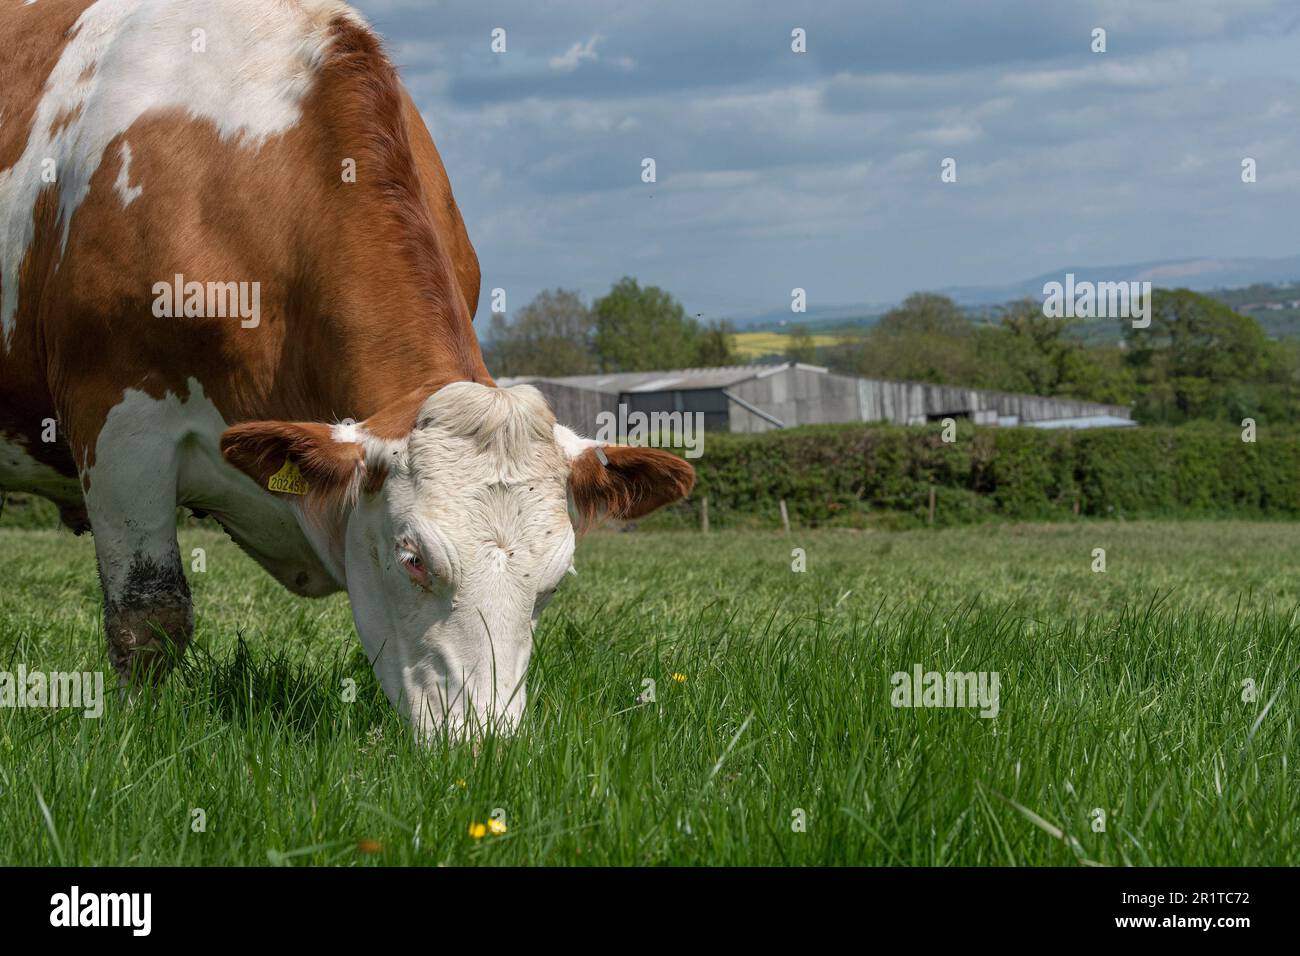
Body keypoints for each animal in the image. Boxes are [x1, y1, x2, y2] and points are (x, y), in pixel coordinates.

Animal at [0, 0, 696, 738]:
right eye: (413, 558)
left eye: (555, 580)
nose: (481, 746)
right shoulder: (117, 425)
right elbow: (149, 616)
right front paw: (142, 734)